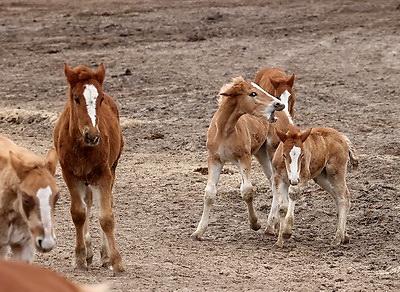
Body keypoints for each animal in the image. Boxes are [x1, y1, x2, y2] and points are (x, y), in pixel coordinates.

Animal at [53, 62, 124, 274]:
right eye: (76, 98)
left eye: (100, 99)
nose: (92, 135)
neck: (83, 147)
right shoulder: (69, 175)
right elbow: (79, 213)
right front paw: (79, 257)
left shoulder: (103, 174)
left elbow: (106, 216)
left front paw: (115, 260)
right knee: (87, 203)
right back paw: (89, 252)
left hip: (111, 169)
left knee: (102, 202)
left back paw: (104, 254)